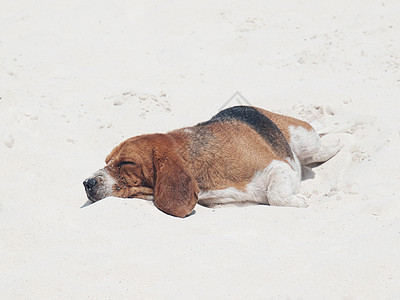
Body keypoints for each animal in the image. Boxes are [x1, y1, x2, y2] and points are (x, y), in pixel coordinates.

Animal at [83, 106, 340, 217]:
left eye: (126, 163)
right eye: (107, 161)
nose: (87, 183)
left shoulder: (278, 166)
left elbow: (276, 196)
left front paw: (298, 202)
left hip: (305, 139)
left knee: (319, 148)